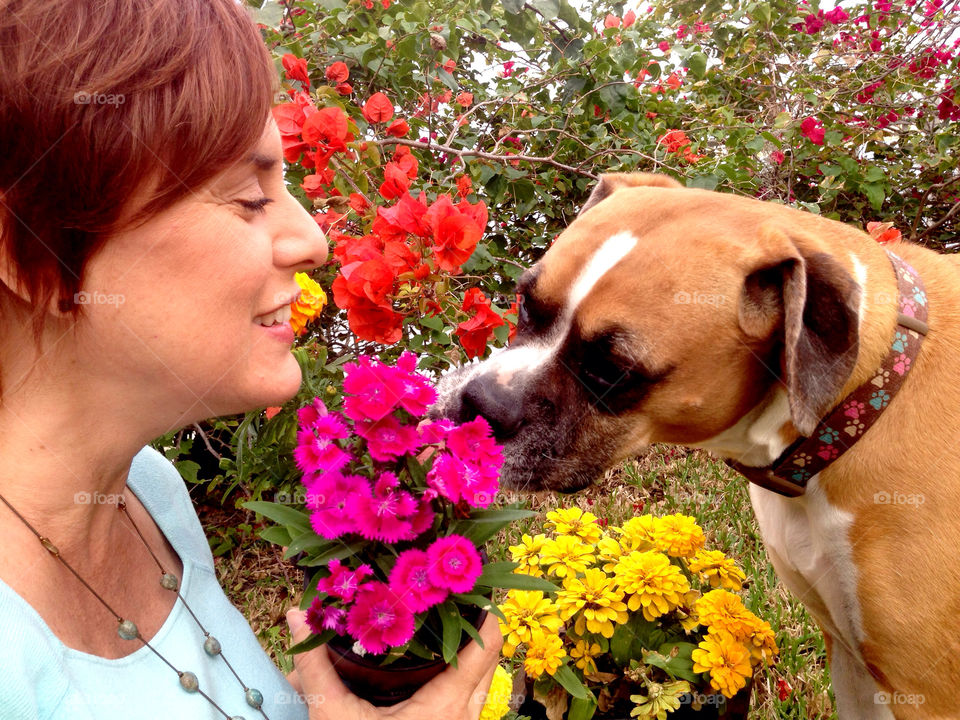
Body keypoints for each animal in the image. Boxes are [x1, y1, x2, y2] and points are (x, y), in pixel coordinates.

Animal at [436, 174, 960, 720]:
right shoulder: (851, 660)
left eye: (612, 370)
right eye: (523, 303)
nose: (479, 406)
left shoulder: (923, 693)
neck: (863, 399)